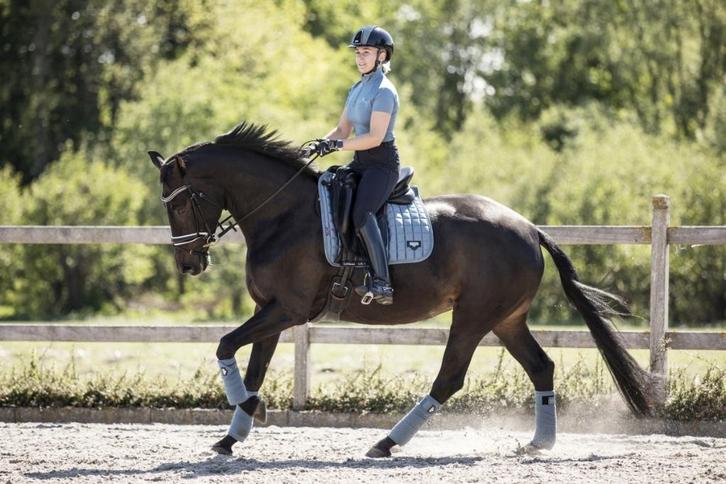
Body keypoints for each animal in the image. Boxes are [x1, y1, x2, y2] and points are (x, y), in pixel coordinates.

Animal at [149, 122, 657, 457]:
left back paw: (387, 442)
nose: (189, 263)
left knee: (450, 378)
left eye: (180, 203)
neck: (283, 215)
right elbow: (251, 367)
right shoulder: (269, 312)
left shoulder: (288, 310)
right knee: (541, 367)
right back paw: (539, 442)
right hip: (506, 320)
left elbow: (224, 345)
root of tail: (529, 229)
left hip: (474, 317)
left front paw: (254, 411)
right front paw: (233, 433)